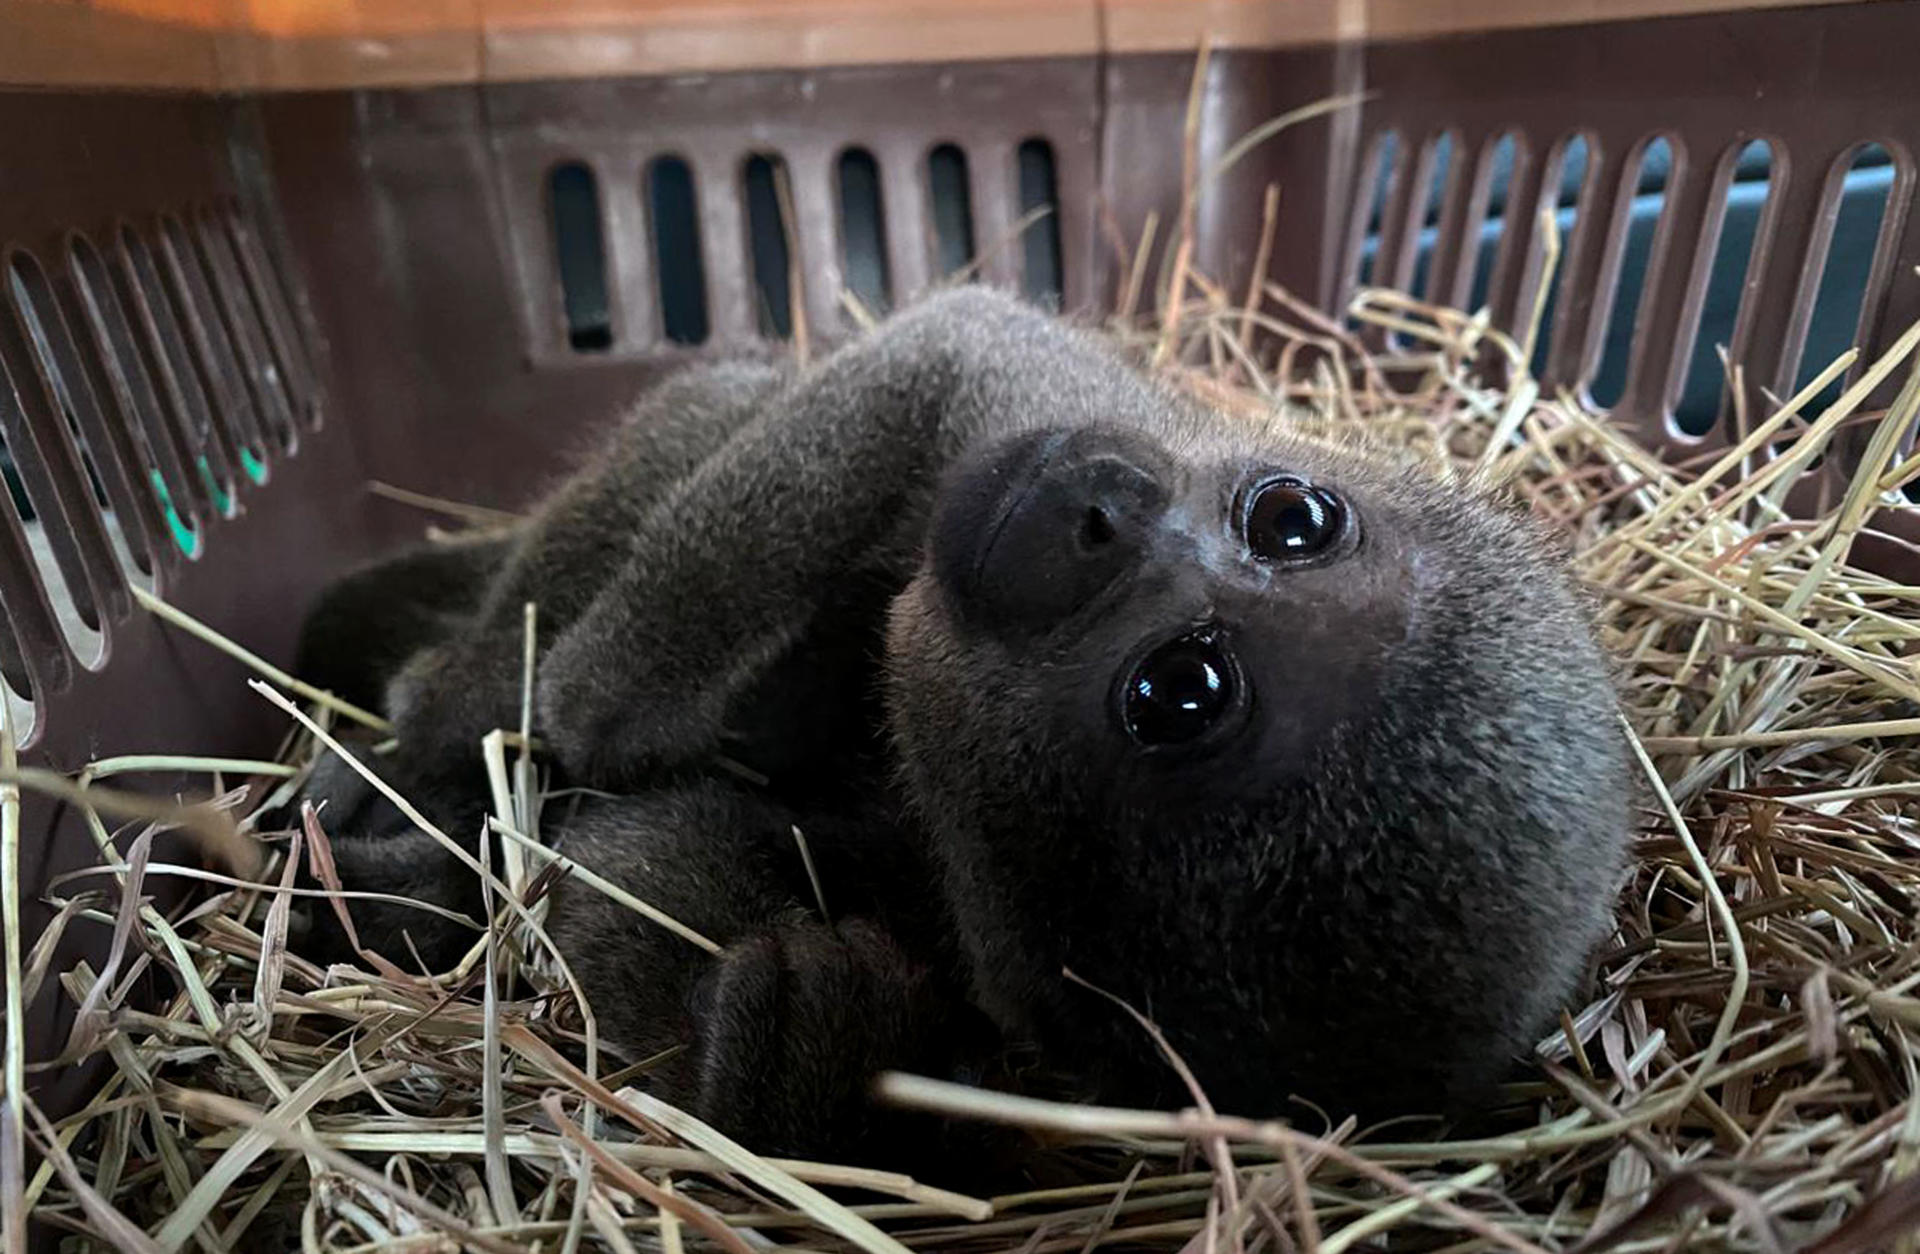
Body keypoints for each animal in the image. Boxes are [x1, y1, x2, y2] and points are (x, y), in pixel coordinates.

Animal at [291, 288, 1628, 1167]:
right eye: (1295, 519)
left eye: (1179, 692)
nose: (1103, 503)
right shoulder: (1049, 407)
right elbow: (947, 346)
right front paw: (585, 693)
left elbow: (639, 866)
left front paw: (814, 1068)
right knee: (713, 417)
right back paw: (453, 701)